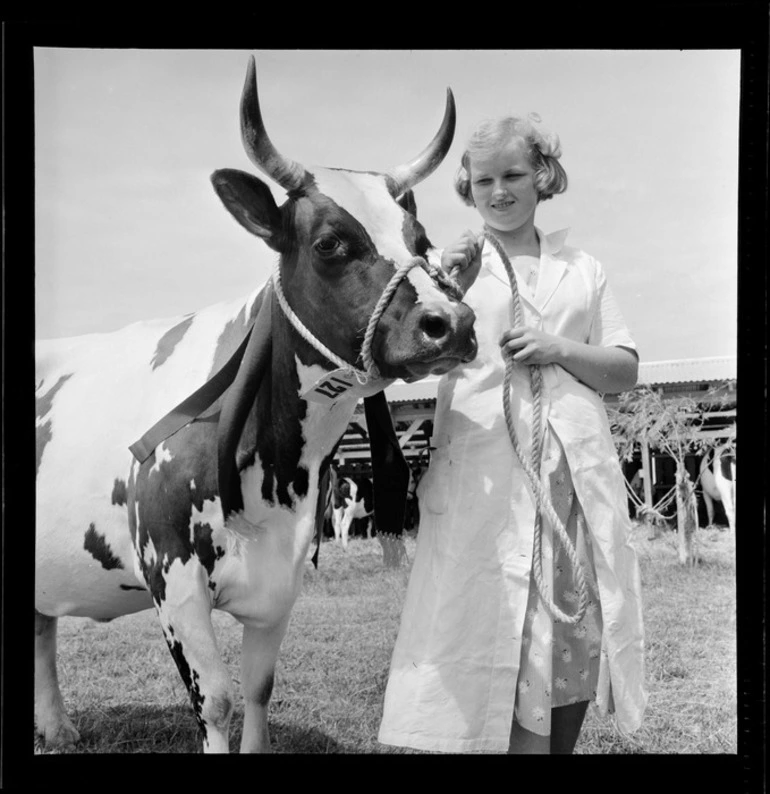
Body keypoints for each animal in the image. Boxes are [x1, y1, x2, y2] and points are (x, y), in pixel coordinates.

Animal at [34, 57, 474, 756]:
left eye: (421, 239)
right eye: (329, 243)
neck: (278, 464)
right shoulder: (173, 580)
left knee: (41, 628)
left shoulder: (282, 578)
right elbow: (215, 700)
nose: (451, 323)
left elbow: (260, 690)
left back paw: (56, 725)